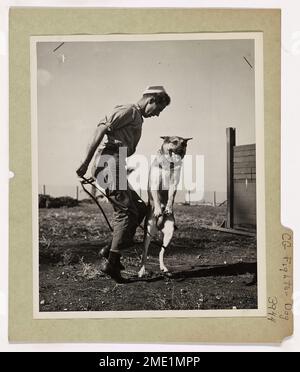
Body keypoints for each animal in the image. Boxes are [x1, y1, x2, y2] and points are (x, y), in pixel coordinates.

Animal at [138, 136, 192, 276]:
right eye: (174, 142)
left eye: (184, 143)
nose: (181, 148)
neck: (169, 164)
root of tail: (159, 226)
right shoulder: (155, 183)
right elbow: (156, 198)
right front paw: (158, 209)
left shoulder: (173, 184)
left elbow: (171, 197)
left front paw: (168, 208)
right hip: (148, 233)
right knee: (144, 253)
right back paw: (142, 270)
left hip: (169, 233)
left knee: (161, 252)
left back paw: (163, 267)